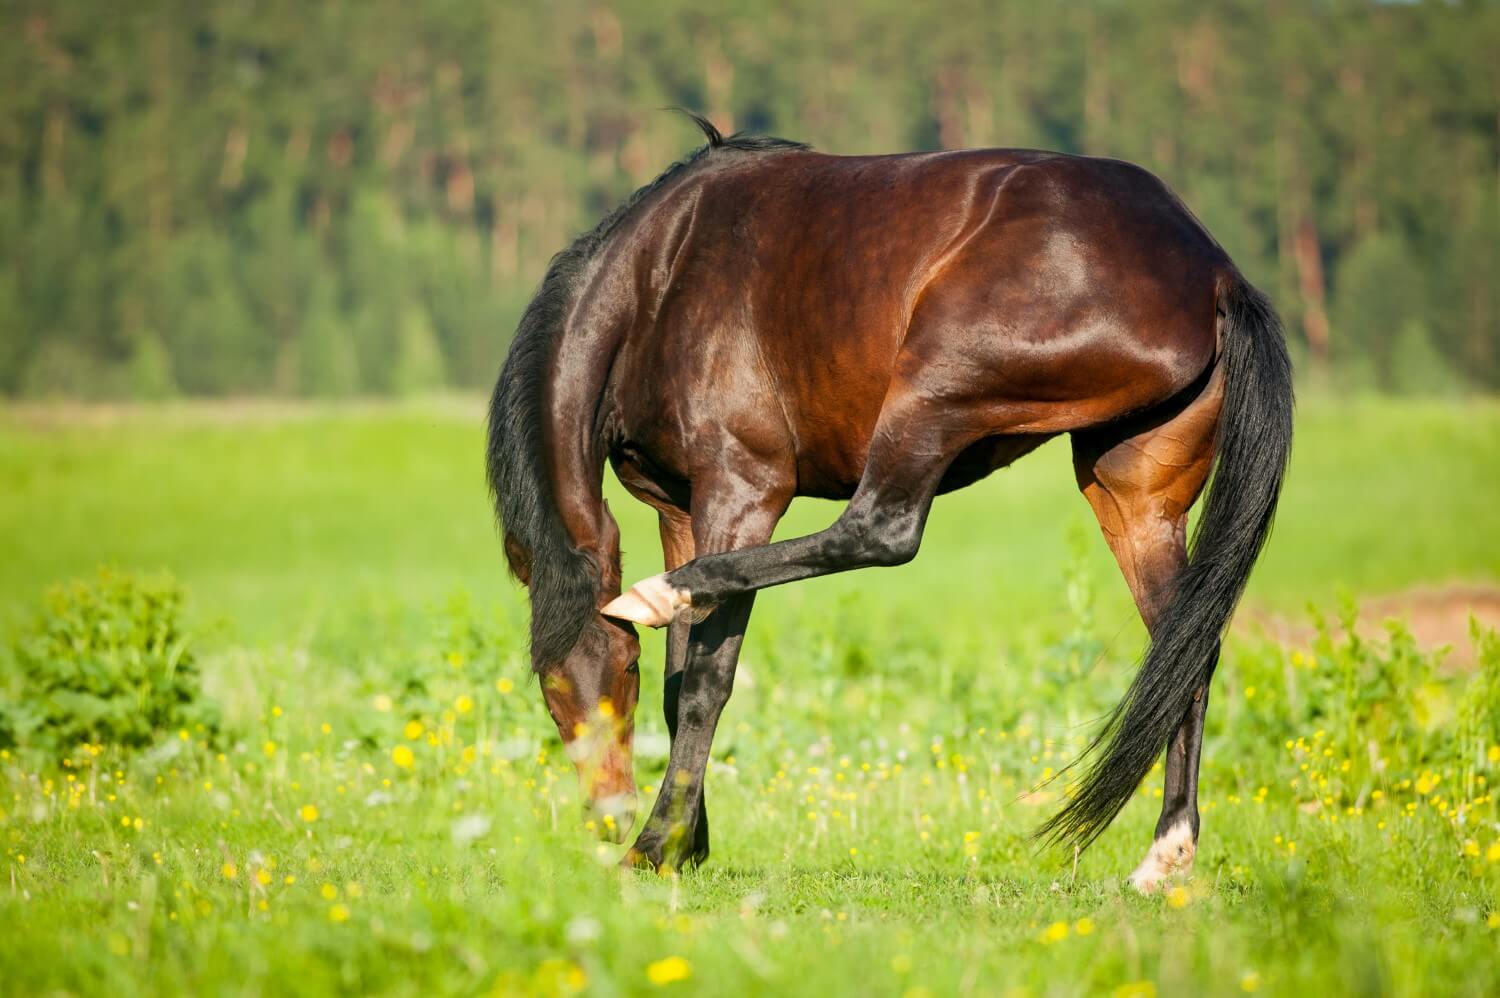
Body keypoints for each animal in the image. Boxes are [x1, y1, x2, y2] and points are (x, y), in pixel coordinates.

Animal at [489, 111, 1290, 888]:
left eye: (614, 674)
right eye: (551, 691)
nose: (608, 820)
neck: (658, 278)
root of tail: (1210, 270)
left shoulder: (740, 489)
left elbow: (705, 679)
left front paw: (659, 846)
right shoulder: (679, 507)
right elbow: (680, 673)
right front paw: (688, 839)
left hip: (934, 385)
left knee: (881, 528)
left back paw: (659, 596)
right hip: (1129, 490)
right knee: (1184, 644)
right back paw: (1166, 855)